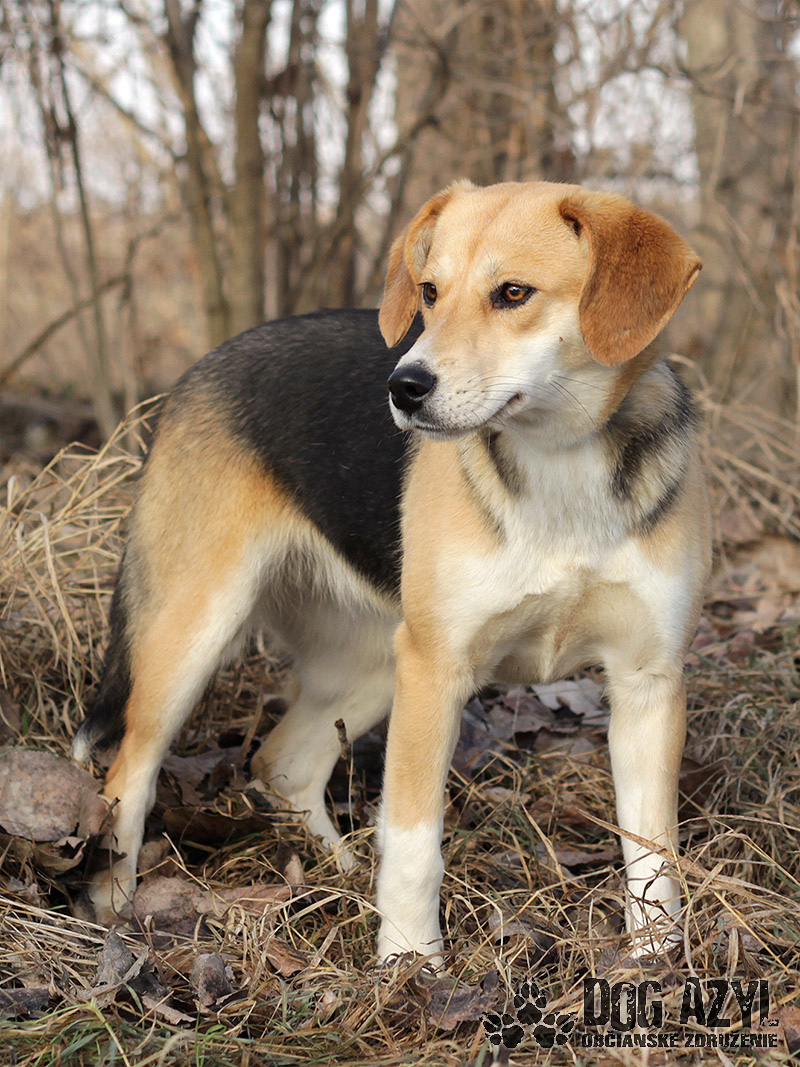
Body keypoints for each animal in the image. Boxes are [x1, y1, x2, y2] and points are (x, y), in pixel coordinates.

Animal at [73, 180, 710, 965]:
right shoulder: (436, 671)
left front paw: (658, 960)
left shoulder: (648, 682)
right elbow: (412, 838)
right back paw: (112, 906)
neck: (558, 463)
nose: (404, 387)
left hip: (374, 657)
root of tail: (201, 366)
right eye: (430, 291)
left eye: (513, 293)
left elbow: (653, 850)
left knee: (282, 763)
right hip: (194, 633)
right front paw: (411, 961)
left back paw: (338, 872)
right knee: (127, 775)